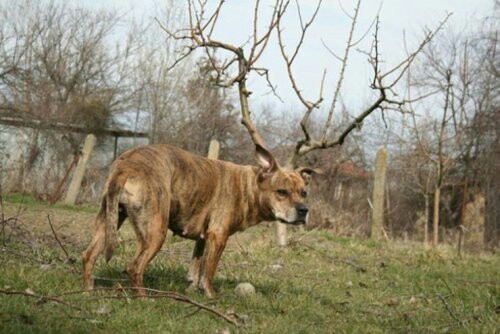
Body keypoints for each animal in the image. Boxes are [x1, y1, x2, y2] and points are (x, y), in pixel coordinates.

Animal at [82, 144, 316, 298]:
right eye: (282, 192)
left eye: (304, 193)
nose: (304, 210)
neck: (249, 186)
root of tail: (127, 166)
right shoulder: (218, 237)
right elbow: (208, 271)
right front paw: (210, 295)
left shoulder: (203, 239)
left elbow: (196, 267)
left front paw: (192, 289)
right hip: (155, 233)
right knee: (135, 267)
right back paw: (143, 298)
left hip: (108, 221)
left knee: (89, 255)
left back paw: (88, 290)